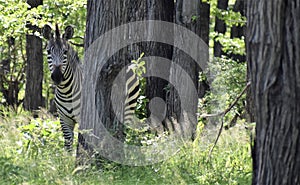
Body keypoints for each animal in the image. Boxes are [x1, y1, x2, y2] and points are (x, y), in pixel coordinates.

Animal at [42, 24, 140, 152]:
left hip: (128, 108)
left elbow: (84, 140)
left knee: (123, 132)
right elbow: (68, 144)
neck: (66, 92)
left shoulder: (83, 117)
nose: (57, 77)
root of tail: (129, 66)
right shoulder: (64, 119)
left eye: (65, 52)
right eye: (48, 51)